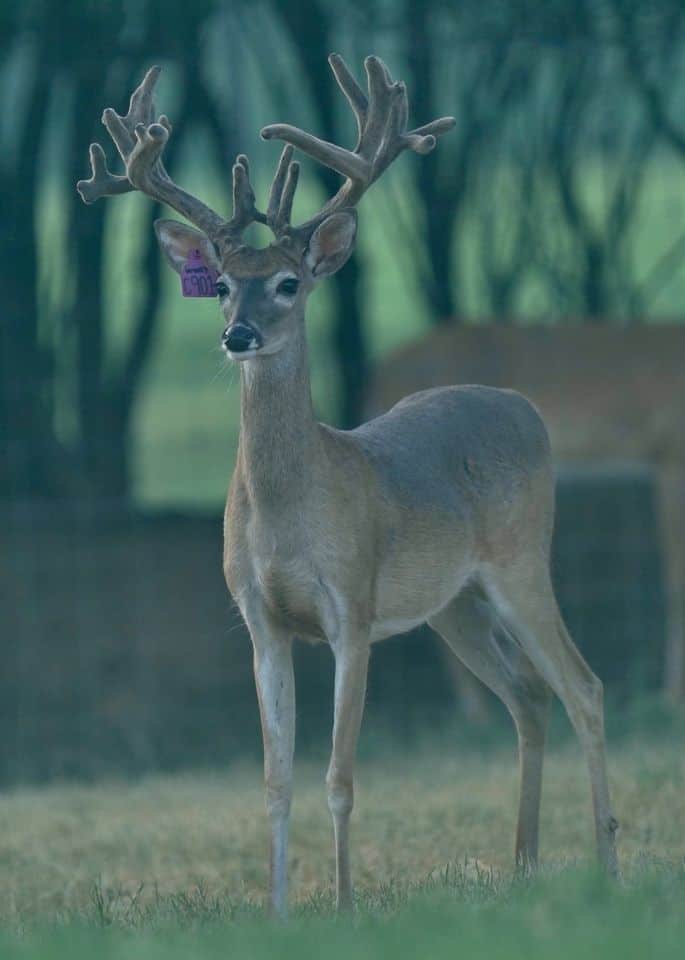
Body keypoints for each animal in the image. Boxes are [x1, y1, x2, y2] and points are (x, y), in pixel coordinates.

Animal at [77, 55, 619, 918]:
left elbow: (338, 775)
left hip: (521, 560)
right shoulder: (259, 617)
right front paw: (277, 914)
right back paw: (522, 865)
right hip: (453, 604)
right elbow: (274, 781)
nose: (238, 336)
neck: (287, 517)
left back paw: (606, 863)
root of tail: (523, 405)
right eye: (222, 283)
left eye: (288, 283)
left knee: (584, 687)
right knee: (528, 696)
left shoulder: (352, 608)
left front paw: (341, 906)